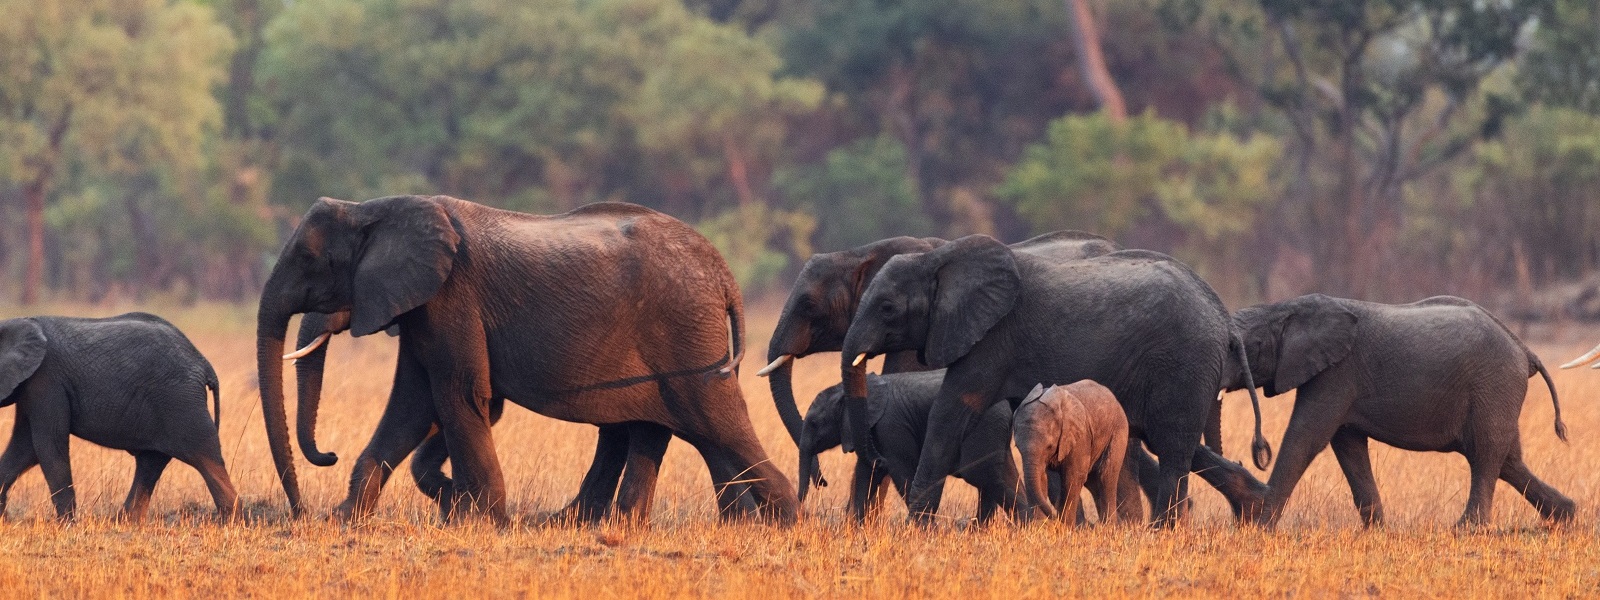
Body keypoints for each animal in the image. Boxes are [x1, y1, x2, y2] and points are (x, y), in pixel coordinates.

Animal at [0, 315, 236, 521]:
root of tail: (204, 363)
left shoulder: (46, 381)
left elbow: (47, 445)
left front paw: (67, 524)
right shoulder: (29, 387)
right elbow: (24, 448)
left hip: (181, 401)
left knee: (204, 455)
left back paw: (231, 522)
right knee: (152, 461)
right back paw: (127, 521)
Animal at [252, 195, 796, 524]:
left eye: (308, 260)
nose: (301, 510)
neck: (374, 207)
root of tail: (724, 273)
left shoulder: (452, 297)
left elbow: (461, 394)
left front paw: (479, 519)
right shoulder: (423, 306)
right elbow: (412, 403)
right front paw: (346, 519)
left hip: (688, 333)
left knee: (714, 417)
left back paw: (779, 521)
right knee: (658, 426)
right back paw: (607, 524)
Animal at [1011, 382, 1126, 524]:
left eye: (1049, 446)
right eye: (1017, 447)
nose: (1054, 517)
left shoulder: (1080, 436)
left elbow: (1073, 476)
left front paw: (1064, 526)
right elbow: (1041, 477)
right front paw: (1039, 526)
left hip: (1118, 432)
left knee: (1106, 477)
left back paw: (1109, 525)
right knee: (1093, 482)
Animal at [1196, 294, 1568, 528]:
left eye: (1244, 348)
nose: (1257, 453)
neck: (1288, 307)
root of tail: (1526, 350)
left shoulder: (1336, 374)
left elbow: (1306, 437)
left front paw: (1260, 525)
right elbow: (1347, 446)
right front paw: (1375, 530)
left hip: (1494, 385)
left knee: (1486, 453)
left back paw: (1467, 529)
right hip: (1498, 392)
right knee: (1508, 460)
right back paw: (1563, 518)